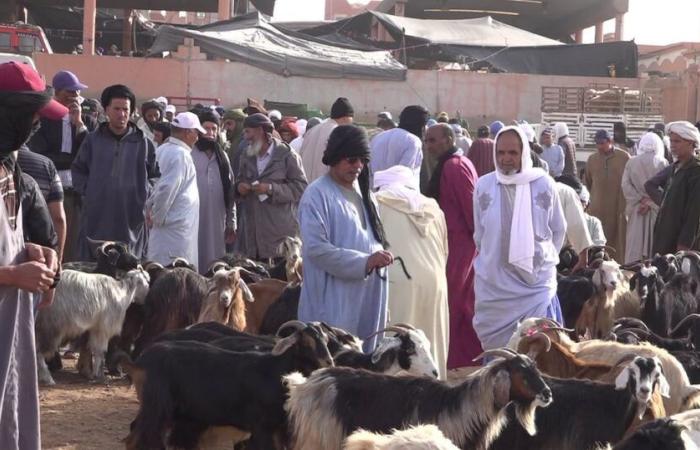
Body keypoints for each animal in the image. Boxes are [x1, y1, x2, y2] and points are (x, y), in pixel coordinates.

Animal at [120, 322, 334, 450]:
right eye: (306, 342)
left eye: (325, 339)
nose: (329, 361)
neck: (275, 371)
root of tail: (139, 362)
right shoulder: (262, 427)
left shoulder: (280, 429)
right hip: (157, 407)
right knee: (134, 438)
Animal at [284, 348, 552, 450]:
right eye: (521, 372)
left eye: (535, 369)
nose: (547, 394)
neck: (462, 405)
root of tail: (304, 385)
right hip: (320, 438)